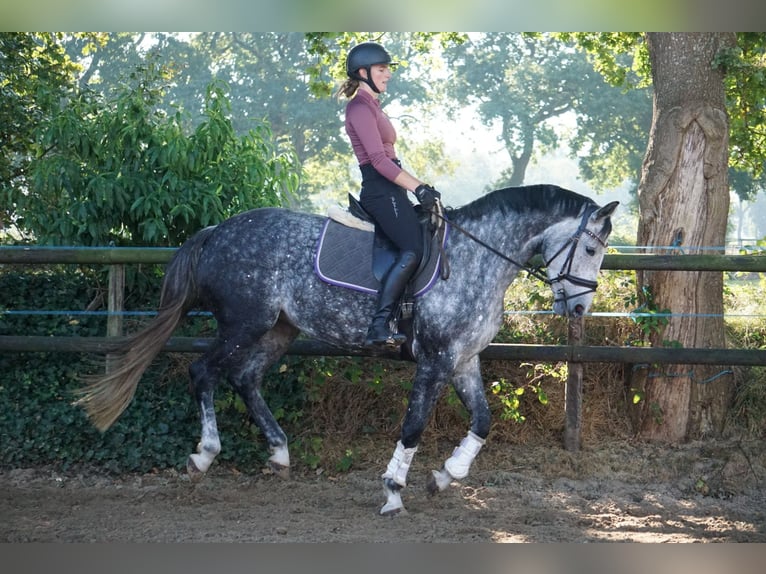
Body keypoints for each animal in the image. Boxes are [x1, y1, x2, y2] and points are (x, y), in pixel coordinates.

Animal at [75, 183, 618, 516]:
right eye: (591, 249)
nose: (579, 309)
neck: (474, 259)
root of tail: (216, 232)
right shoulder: (435, 361)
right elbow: (414, 426)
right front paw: (394, 492)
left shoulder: (463, 360)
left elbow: (484, 422)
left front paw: (445, 477)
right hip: (243, 324)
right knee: (203, 373)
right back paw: (203, 457)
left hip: (279, 331)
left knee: (245, 379)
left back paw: (279, 454)